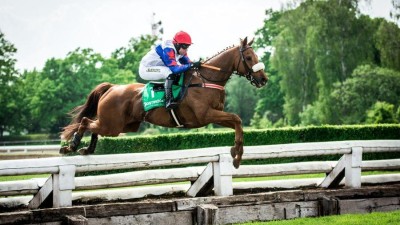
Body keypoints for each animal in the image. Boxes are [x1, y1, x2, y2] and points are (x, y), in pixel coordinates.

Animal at [60, 37, 268, 168]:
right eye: (249, 57)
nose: (263, 79)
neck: (206, 79)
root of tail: (112, 88)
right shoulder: (206, 115)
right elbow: (237, 118)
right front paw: (237, 154)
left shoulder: (215, 116)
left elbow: (237, 122)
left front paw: (236, 153)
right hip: (113, 125)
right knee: (86, 121)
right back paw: (71, 146)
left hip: (124, 125)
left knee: (93, 126)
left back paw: (86, 149)